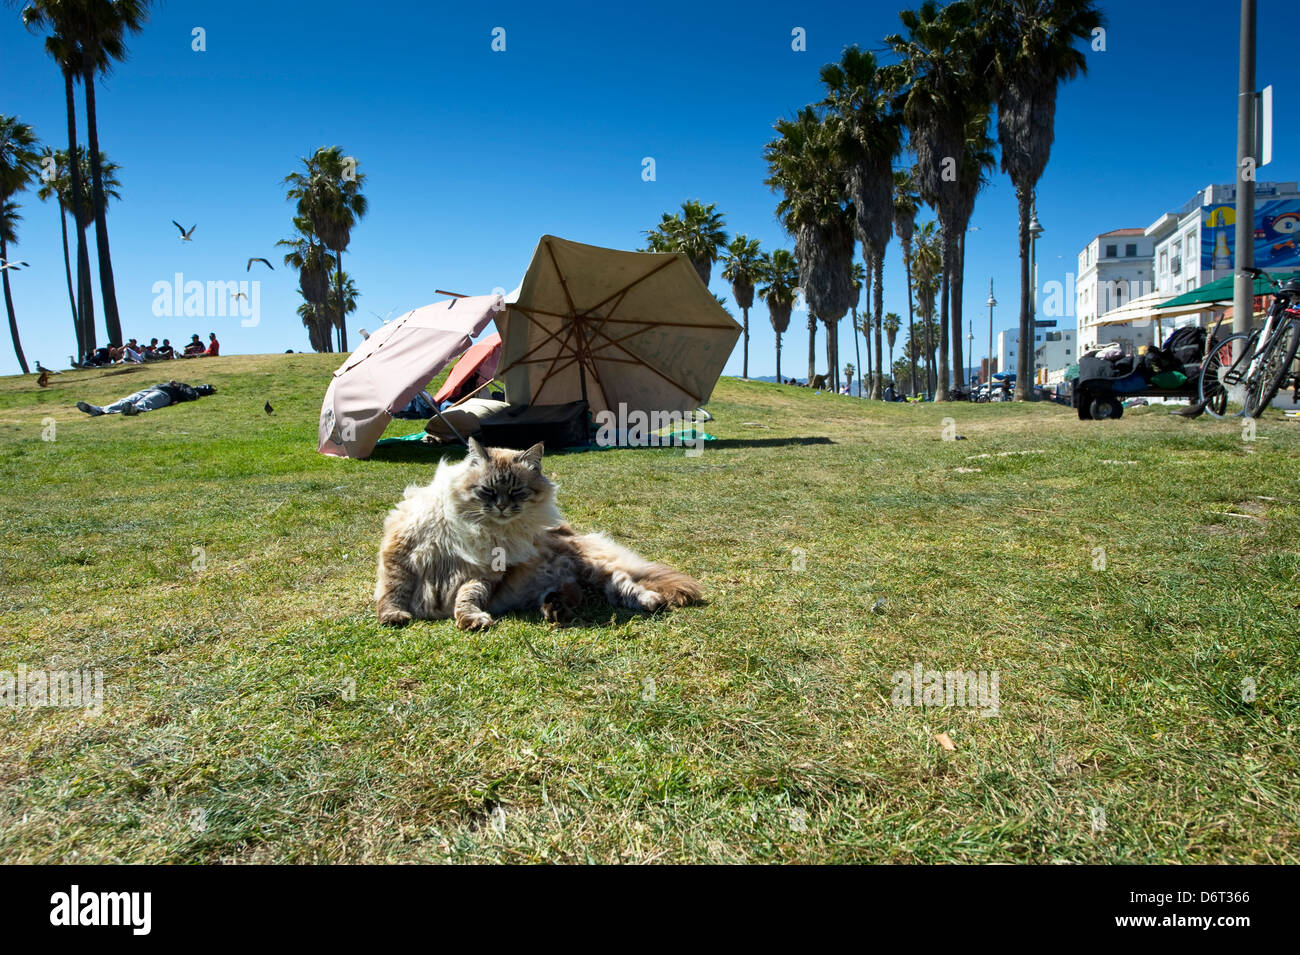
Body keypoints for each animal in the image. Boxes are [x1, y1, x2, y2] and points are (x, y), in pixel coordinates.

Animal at [374, 439, 702, 631]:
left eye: (518, 491)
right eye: (488, 491)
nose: (502, 506)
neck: (485, 527)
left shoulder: (479, 576)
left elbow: (466, 599)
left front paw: (471, 619)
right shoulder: (400, 555)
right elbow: (394, 591)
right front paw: (393, 616)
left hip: (596, 571)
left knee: (624, 587)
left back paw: (652, 602)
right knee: (577, 594)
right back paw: (556, 610)